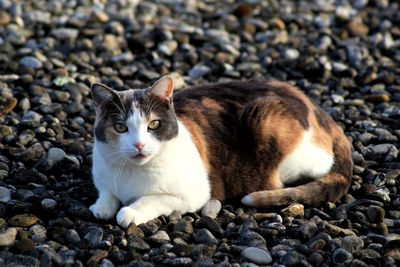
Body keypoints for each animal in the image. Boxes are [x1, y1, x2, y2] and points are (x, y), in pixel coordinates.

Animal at [89, 76, 352, 228]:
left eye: (153, 124)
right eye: (120, 128)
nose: (139, 145)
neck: (130, 172)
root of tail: (317, 109)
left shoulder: (194, 193)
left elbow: (152, 198)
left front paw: (130, 211)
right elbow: (106, 193)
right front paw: (102, 207)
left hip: (264, 118)